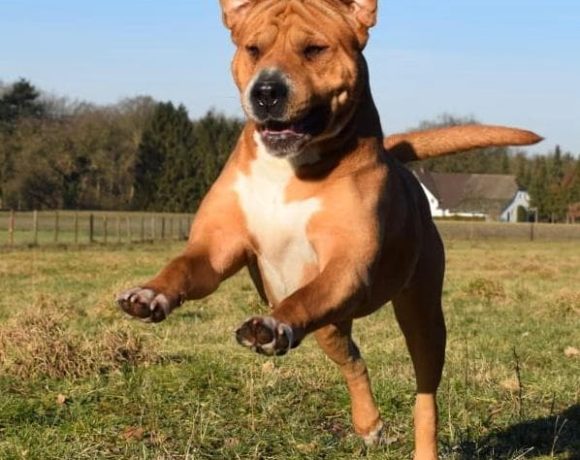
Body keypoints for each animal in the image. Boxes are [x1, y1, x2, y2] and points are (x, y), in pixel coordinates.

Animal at [117, 1, 541, 458]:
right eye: (253, 48)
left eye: (314, 49)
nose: (266, 91)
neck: (289, 169)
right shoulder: (216, 248)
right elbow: (182, 266)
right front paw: (150, 294)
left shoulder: (346, 267)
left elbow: (304, 298)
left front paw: (272, 324)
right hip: (330, 328)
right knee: (353, 358)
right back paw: (369, 423)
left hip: (423, 315)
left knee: (425, 392)